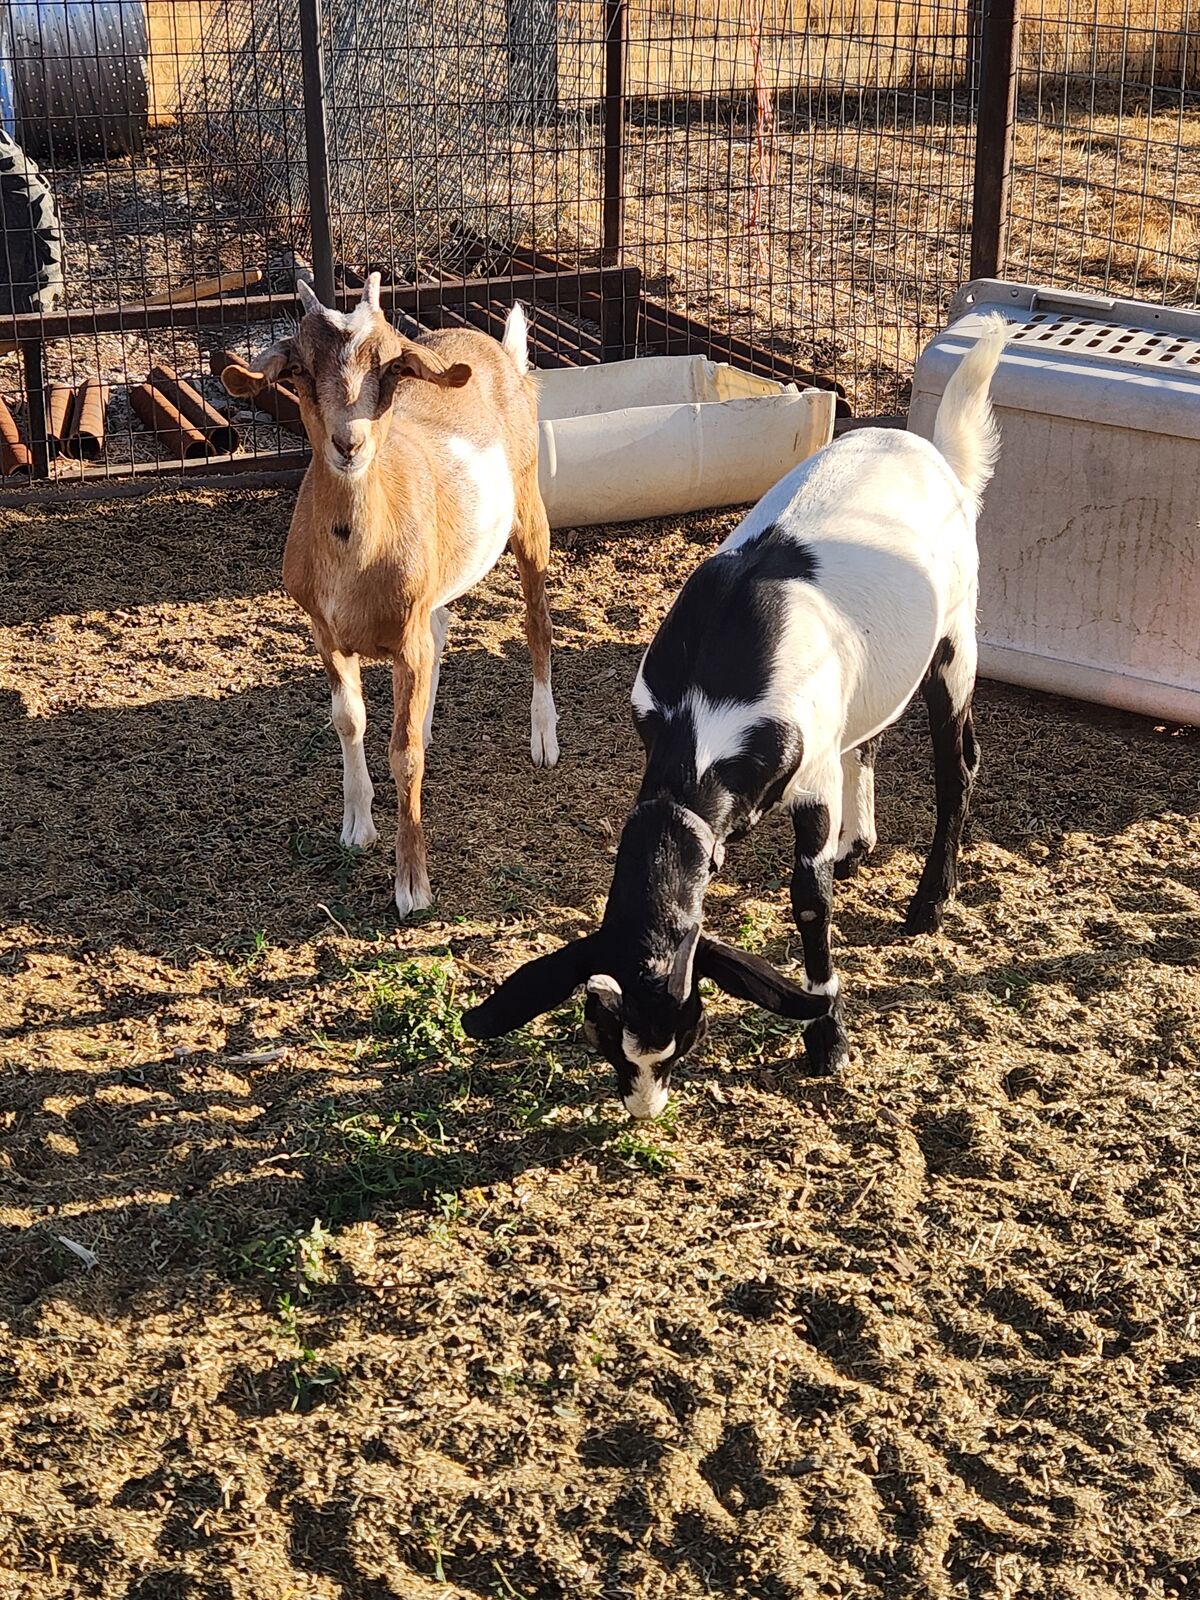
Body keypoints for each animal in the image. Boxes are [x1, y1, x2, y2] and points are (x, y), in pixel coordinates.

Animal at [221, 275, 558, 917]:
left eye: (393, 368)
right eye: (299, 370)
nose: (347, 443)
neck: (356, 558)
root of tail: (503, 353)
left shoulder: (404, 639)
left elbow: (403, 754)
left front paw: (412, 886)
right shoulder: (325, 631)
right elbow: (348, 719)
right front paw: (357, 825)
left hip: (531, 511)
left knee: (536, 623)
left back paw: (544, 738)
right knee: (443, 628)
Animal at [462, 316, 1007, 1117]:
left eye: (687, 1034)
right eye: (603, 1037)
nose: (644, 1111)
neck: (708, 708)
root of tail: (935, 452)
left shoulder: (807, 780)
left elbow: (809, 903)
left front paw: (827, 1039)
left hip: (956, 639)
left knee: (958, 763)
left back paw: (930, 901)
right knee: (869, 738)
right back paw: (859, 844)